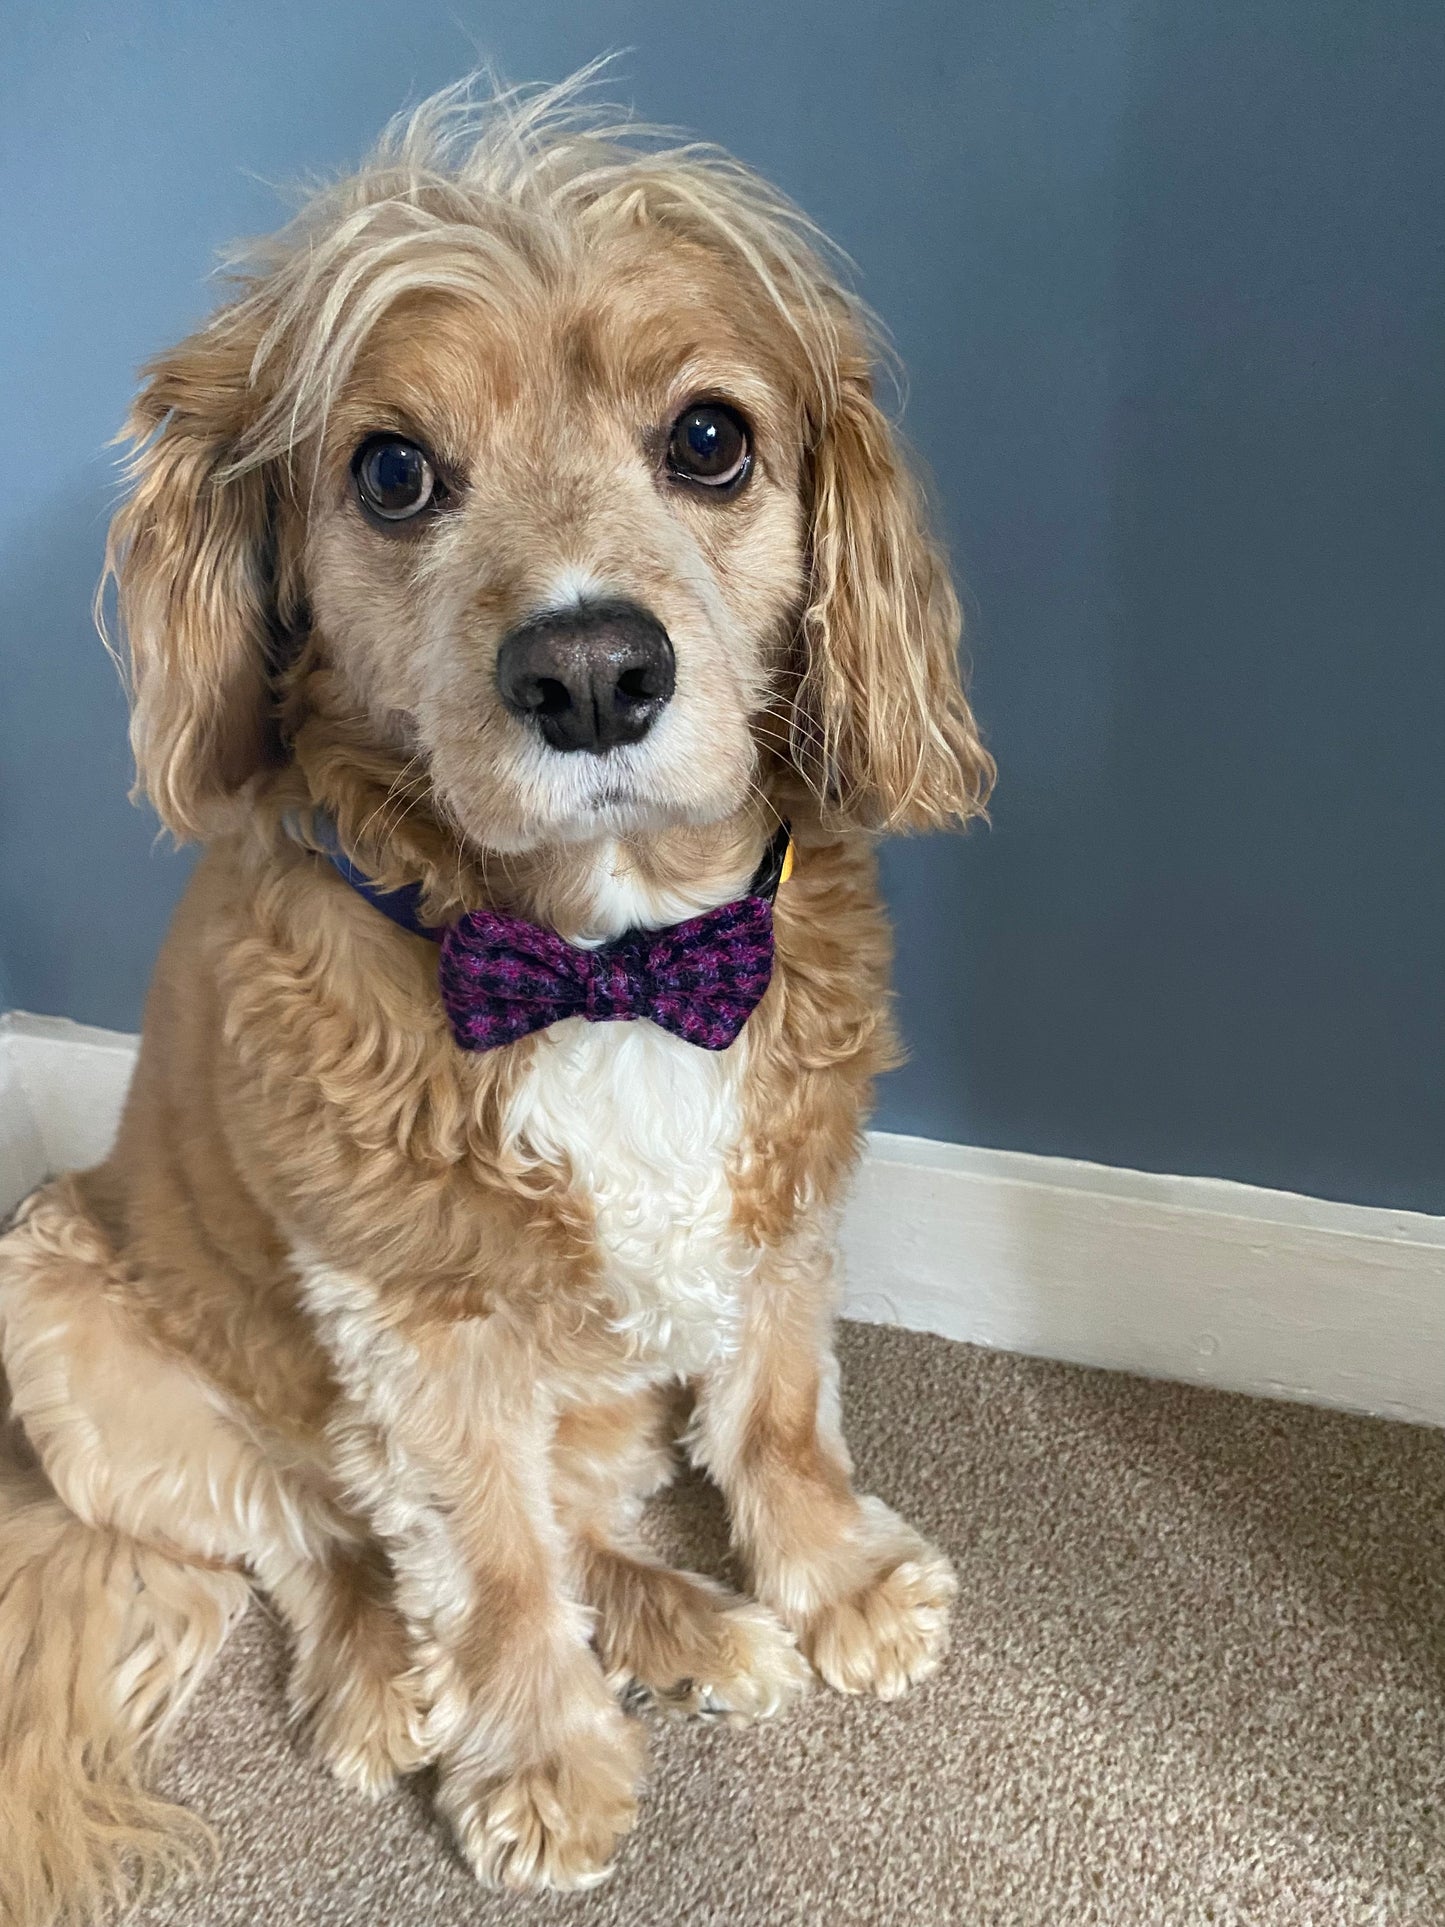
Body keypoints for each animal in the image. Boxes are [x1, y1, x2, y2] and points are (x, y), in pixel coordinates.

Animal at [0, 71, 994, 1911]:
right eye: (393, 471)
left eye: (709, 439)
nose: (592, 671)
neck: (609, 957)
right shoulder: (415, 1313)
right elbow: (489, 1554)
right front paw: (539, 1759)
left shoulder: (782, 1191)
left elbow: (778, 1409)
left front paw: (830, 1578)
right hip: (63, 1320)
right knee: (315, 1537)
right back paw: (384, 1681)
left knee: (578, 1514)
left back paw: (699, 1625)